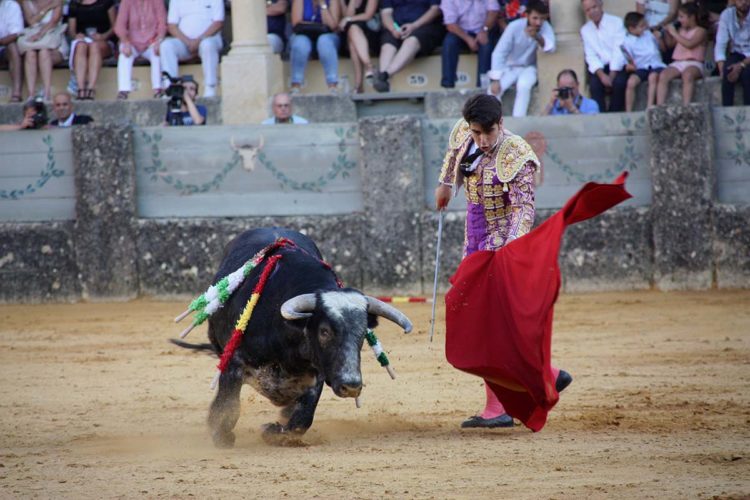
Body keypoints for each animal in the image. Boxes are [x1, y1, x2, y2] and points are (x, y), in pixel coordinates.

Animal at [183, 227, 418, 446]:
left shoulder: (317, 374)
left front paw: (272, 431)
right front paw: (222, 436)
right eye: (324, 331)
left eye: (362, 334)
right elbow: (228, 407)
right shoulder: (234, 361)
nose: (351, 385)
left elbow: (302, 420)